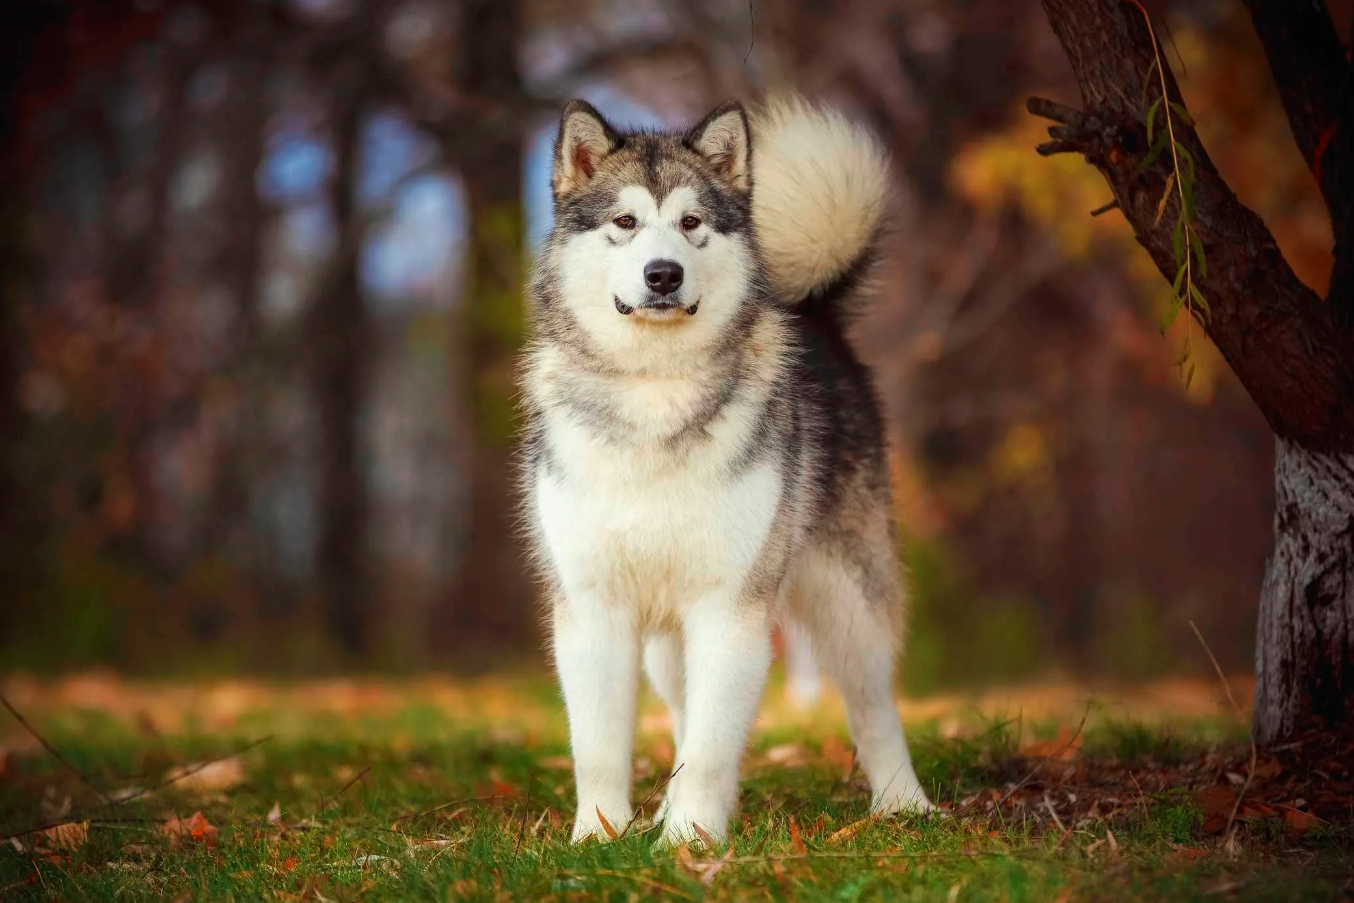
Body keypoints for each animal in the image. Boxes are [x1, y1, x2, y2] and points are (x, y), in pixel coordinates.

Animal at [517, 95, 931, 844]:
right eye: (625, 222)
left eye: (691, 223)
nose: (664, 274)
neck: (654, 392)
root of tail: (814, 311)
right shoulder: (593, 607)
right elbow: (600, 744)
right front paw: (600, 835)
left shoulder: (731, 607)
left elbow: (713, 744)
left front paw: (690, 840)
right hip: (666, 638)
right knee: (685, 707)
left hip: (847, 596)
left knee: (872, 703)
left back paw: (904, 803)